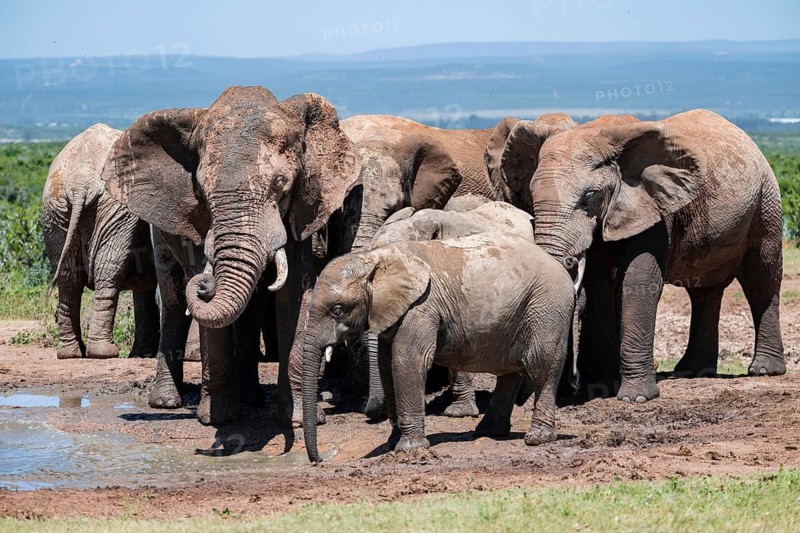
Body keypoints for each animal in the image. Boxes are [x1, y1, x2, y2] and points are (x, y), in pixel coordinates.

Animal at [42, 124, 159, 359]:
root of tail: (80, 179)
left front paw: (142, 355)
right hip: (114, 208)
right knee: (107, 272)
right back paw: (104, 352)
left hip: (55, 207)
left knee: (68, 278)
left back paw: (71, 353)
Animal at [102, 86, 359, 425]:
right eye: (200, 191)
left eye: (281, 186)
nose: (204, 285)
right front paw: (217, 419)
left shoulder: (301, 209)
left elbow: (295, 293)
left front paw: (300, 420)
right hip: (160, 228)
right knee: (173, 301)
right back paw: (166, 402)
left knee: (249, 308)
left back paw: (251, 398)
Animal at [302, 233, 575, 462]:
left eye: (338, 310)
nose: (318, 460)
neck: (376, 256)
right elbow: (386, 367)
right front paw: (392, 444)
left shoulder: (421, 307)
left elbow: (407, 361)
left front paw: (408, 450)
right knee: (509, 373)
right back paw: (489, 432)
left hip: (547, 307)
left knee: (541, 369)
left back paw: (536, 439)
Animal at [497, 108, 786, 402]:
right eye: (532, 194)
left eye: (589, 196)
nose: (570, 260)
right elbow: (598, 287)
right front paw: (603, 389)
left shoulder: (654, 209)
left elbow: (638, 282)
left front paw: (634, 398)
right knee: (704, 293)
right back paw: (692, 372)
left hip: (766, 202)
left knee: (761, 278)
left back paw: (764, 370)